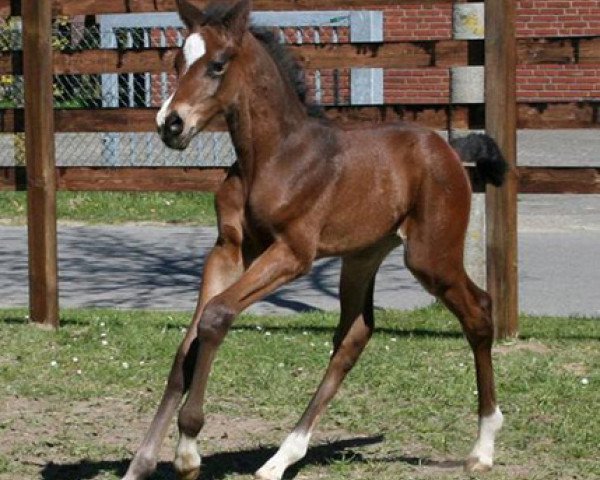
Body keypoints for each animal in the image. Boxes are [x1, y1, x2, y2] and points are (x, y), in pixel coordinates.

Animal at [123, 1, 506, 478]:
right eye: (177, 62)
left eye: (217, 65)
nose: (170, 124)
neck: (271, 157)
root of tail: (450, 151)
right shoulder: (228, 249)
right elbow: (186, 347)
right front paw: (140, 463)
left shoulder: (293, 253)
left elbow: (216, 316)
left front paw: (188, 447)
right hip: (362, 257)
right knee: (354, 335)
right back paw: (280, 459)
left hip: (431, 257)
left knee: (479, 311)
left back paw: (484, 446)